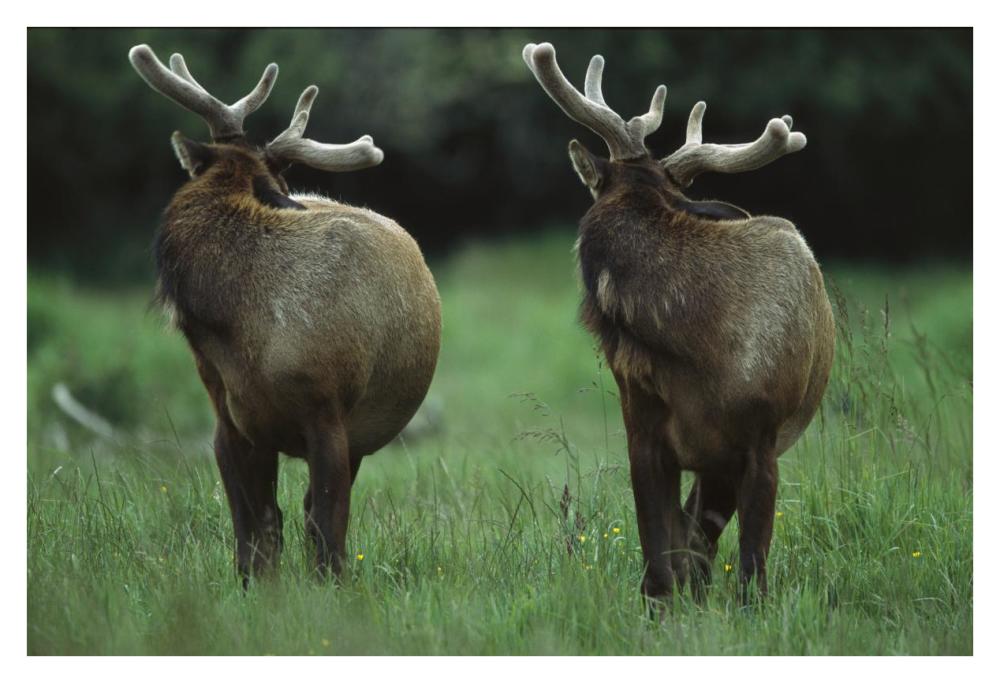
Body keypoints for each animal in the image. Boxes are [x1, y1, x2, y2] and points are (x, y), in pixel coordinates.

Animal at [128, 45, 442, 585]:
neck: (243, 331)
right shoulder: (229, 421)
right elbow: (253, 530)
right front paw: (257, 589)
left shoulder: (330, 411)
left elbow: (325, 525)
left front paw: (329, 589)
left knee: (314, 511)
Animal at [522, 42, 835, 607]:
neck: (698, 345)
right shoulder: (644, 429)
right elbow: (657, 564)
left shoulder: (761, 439)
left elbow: (752, 571)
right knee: (692, 540)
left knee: (702, 539)